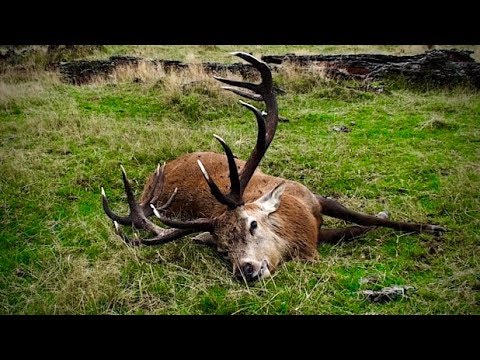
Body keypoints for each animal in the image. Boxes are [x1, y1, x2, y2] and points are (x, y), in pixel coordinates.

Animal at [102, 51, 446, 282]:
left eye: (252, 225)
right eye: (222, 249)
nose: (246, 270)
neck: (302, 224)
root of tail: (152, 178)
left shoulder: (314, 196)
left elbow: (361, 219)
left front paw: (429, 226)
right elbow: (353, 230)